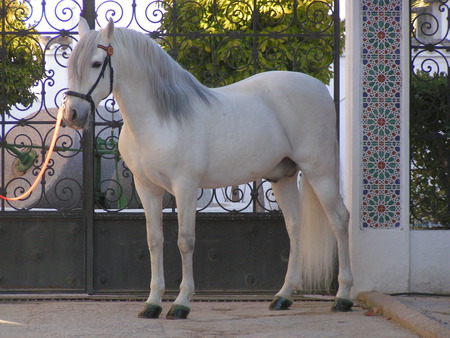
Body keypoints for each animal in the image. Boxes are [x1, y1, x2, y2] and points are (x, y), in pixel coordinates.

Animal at [64, 18, 352, 320]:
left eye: (97, 63)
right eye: (71, 63)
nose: (73, 115)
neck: (158, 119)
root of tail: (319, 88)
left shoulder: (185, 187)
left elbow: (185, 241)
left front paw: (181, 303)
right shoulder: (147, 189)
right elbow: (154, 241)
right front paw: (152, 303)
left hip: (319, 171)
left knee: (339, 220)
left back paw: (343, 297)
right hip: (282, 177)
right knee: (295, 226)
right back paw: (283, 296)